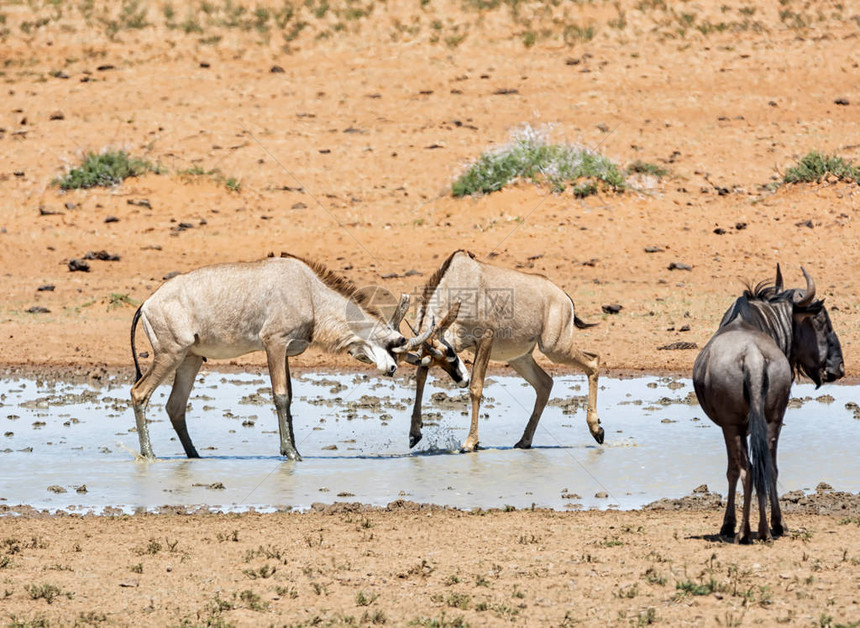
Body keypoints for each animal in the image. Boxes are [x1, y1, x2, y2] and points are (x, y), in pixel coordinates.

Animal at [129, 255, 430, 462]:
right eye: (394, 343)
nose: (392, 368)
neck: (308, 291)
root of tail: (148, 304)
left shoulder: (285, 350)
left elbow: (290, 396)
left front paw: (291, 449)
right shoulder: (273, 344)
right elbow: (281, 396)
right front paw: (292, 453)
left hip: (190, 359)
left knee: (175, 406)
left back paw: (195, 455)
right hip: (170, 354)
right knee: (139, 393)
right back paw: (150, 456)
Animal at [406, 249, 600, 452]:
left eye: (451, 354)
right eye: (440, 363)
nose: (462, 381)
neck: (460, 279)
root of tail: (563, 296)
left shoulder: (485, 339)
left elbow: (476, 387)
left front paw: (470, 442)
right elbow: (420, 379)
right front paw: (414, 434)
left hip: (554, 349)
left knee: (592, 362)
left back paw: (597, 431)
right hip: (519, 358)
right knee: (545, 383)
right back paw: (524, 441)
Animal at [696, 268, 844, 544]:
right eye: (821, 321)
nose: (838, 368)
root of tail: (753, 356)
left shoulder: (731, 427)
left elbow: (733, 471)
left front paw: (728, 525)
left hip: (733, 426)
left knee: (746, 469)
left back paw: (744, 532)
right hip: (773, 420)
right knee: (768, 467)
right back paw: (771, 527)